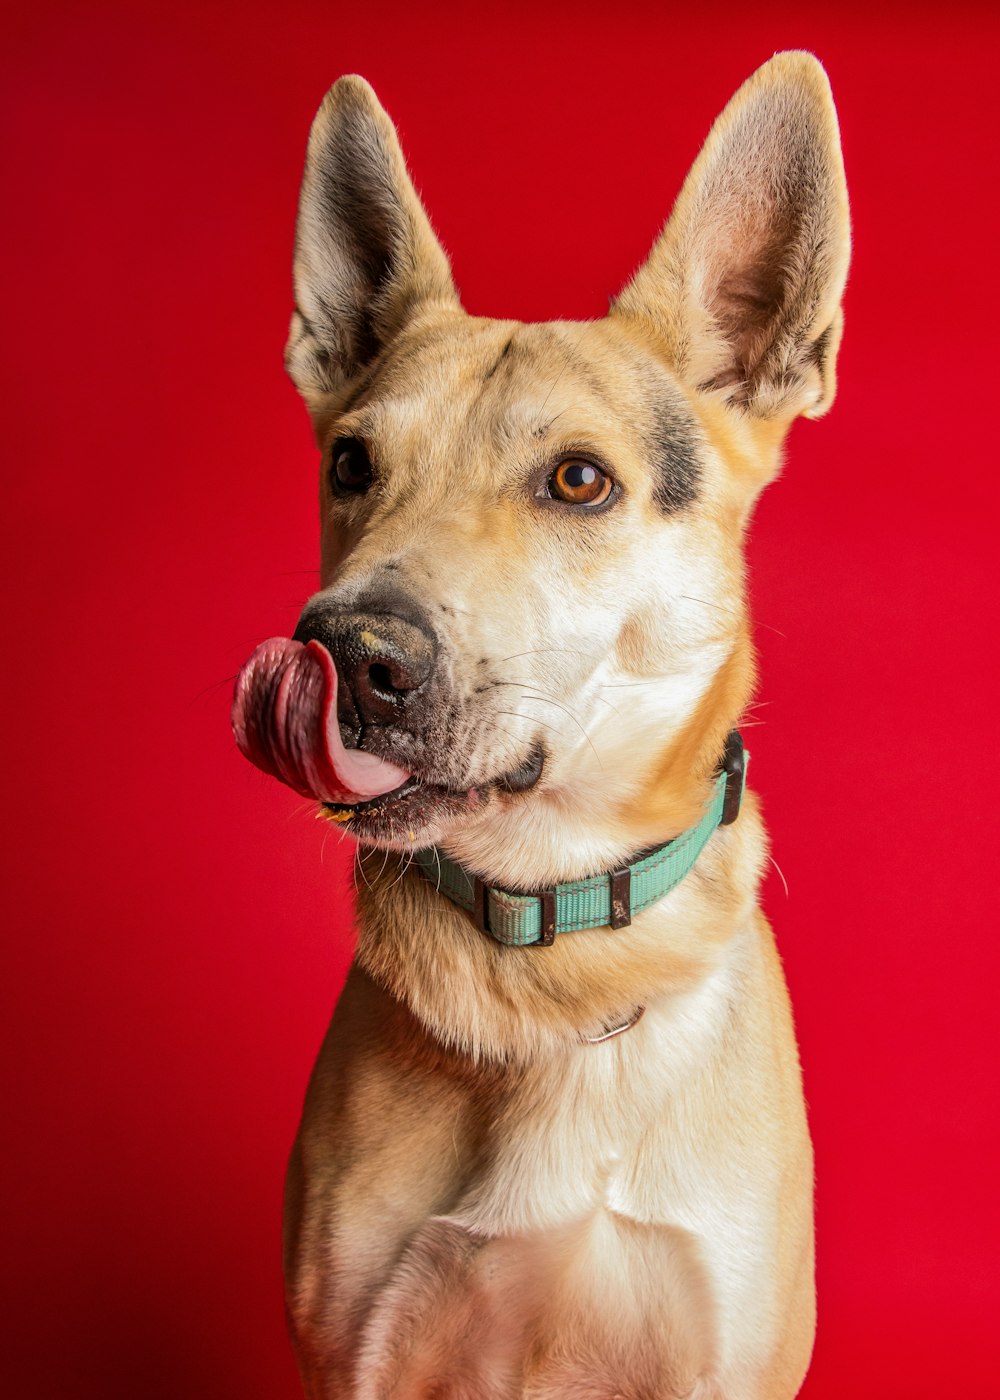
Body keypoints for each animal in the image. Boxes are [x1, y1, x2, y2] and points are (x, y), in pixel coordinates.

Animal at [233, 49, 851, 1394]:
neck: (553, 961)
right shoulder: (357, 1349)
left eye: (578, 480)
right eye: (351, 464)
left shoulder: (720, 1350)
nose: (350, 651)